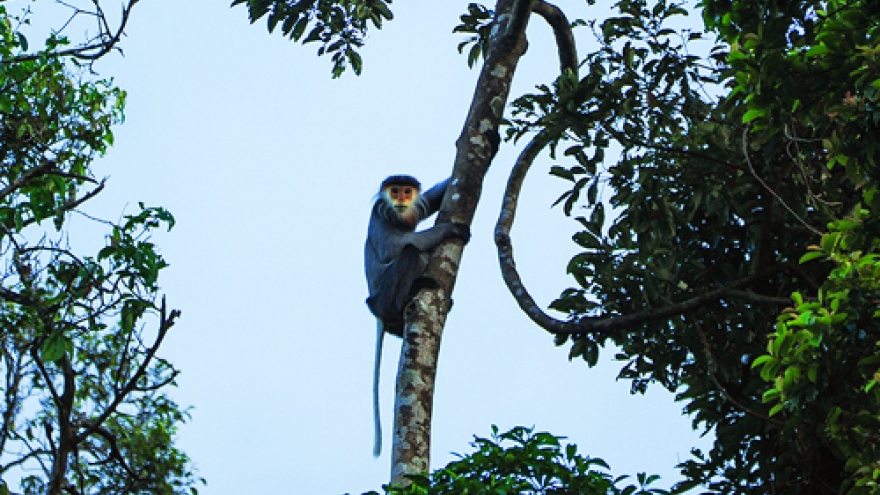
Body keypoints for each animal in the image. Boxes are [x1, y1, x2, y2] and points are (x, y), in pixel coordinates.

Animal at [364, 174, 470, 458]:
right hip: (383, 297)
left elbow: (434, 198)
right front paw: (451, 230)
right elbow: (392, 248)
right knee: (410, 251)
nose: (401, 198)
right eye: (395, 191)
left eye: (407, 191)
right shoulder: (379, 215)